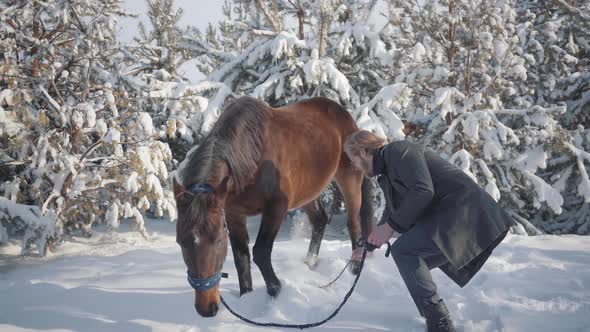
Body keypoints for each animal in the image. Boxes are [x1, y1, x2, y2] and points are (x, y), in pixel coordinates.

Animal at [173, 96, 372, 316]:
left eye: (217, 240)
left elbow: (260, 252)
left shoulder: (276, 208)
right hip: (307, 192)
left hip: (349, 179)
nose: (206, 308)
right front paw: (246, 297)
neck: (251, 157)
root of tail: (344, 115)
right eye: (180, 242)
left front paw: (276, 290)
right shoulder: (233, 214)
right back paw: (309, 264)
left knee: (353, 222)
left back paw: (354, 269)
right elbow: (240, 257)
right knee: (320, 220)